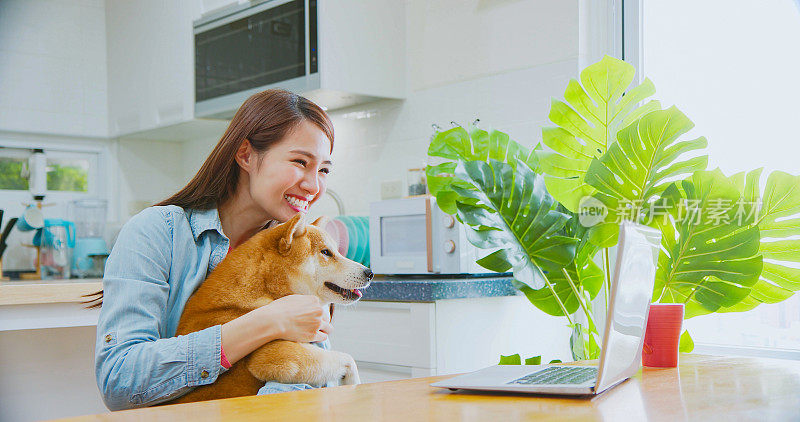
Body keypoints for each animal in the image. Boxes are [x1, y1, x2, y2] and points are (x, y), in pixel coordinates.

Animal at [170, 213, 374, 404]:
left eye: (337, 251)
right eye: (326, 252)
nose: (370, 273)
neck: (264, 289)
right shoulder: (276, 355)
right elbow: (347, 358)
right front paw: (354, 382)